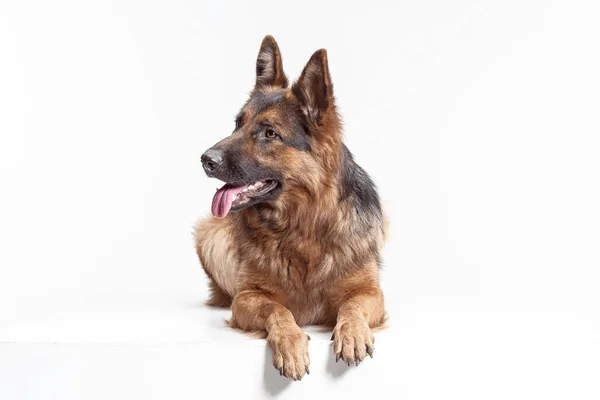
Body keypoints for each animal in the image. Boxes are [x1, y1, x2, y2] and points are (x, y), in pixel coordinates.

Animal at [195, 36, 386, 380]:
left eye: (270, 133)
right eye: (237, 125)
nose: (205, 159)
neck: (303, 225)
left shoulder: (371, 292)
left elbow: (352, 306)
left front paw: (352, 333)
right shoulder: (247, 298)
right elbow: (278, 309)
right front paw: (290, 343)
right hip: (208, 236)